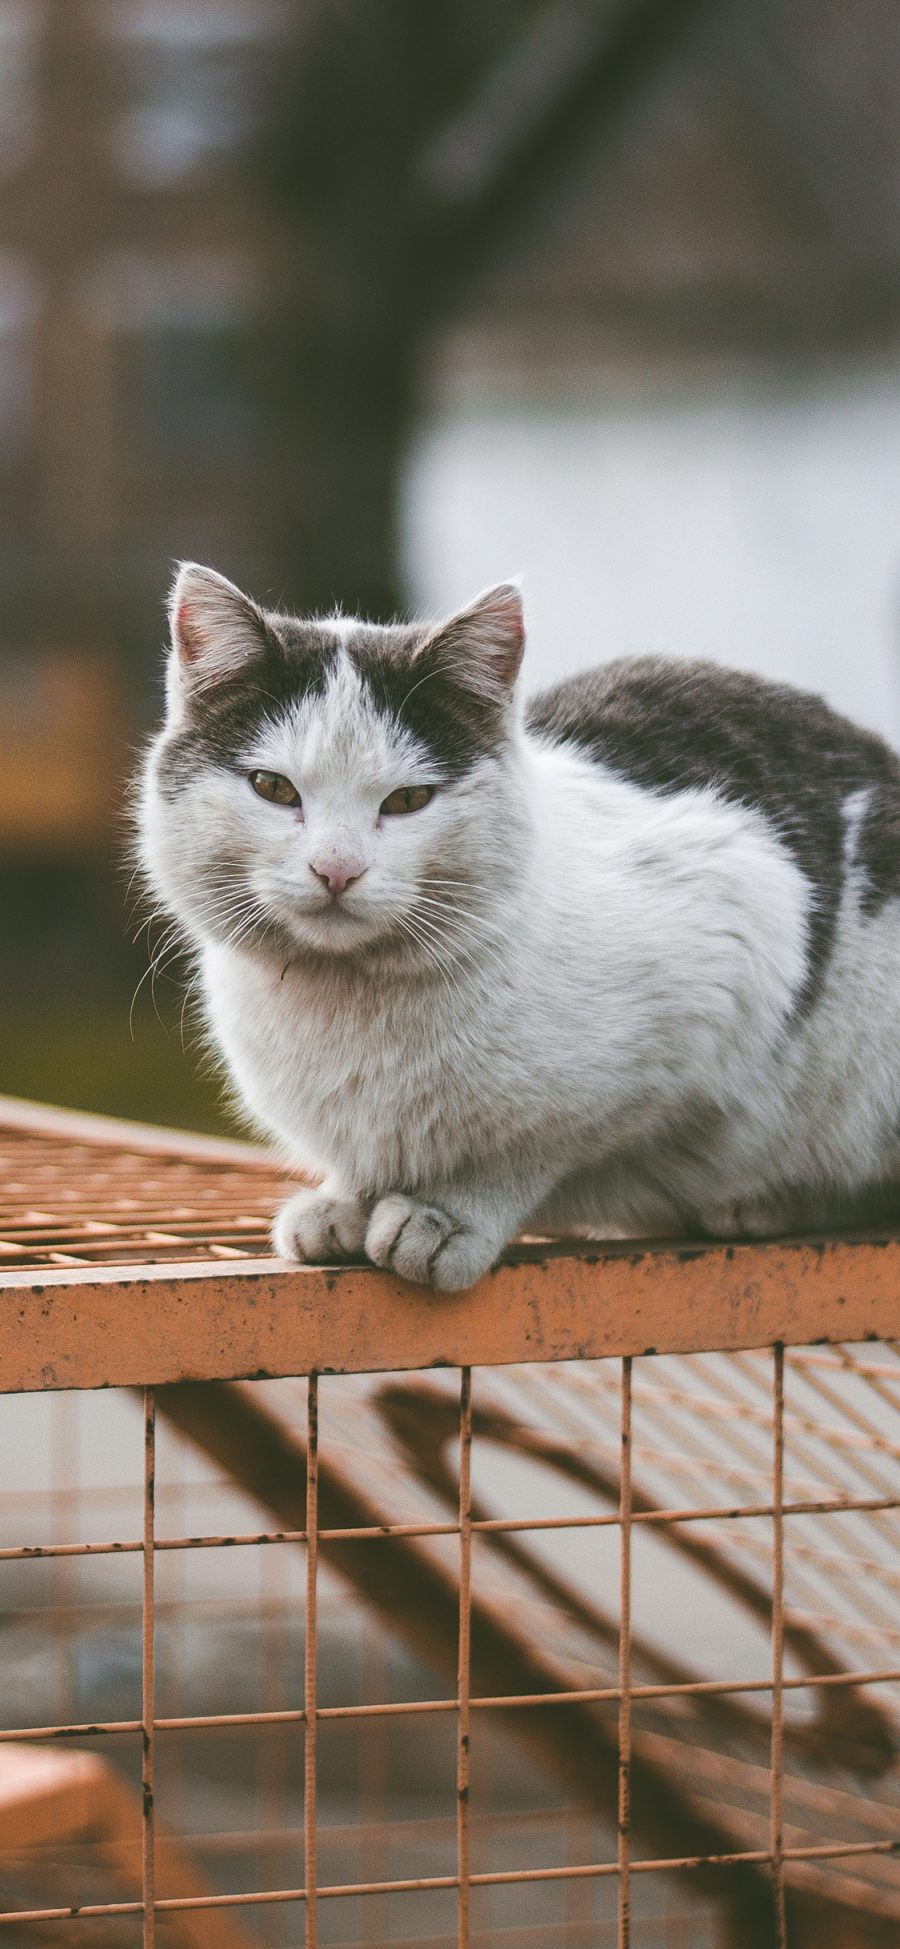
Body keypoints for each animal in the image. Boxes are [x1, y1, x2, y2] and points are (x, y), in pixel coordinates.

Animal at [135, 561, 900, 1294]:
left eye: (409, 800)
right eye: (274, 789)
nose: (336, 869)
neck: (347, 1001)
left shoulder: (732, 933)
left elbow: (529, 1148)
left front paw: (447, 1214)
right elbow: (366, 1162)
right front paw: (345, 1202)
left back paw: (765, 1202)